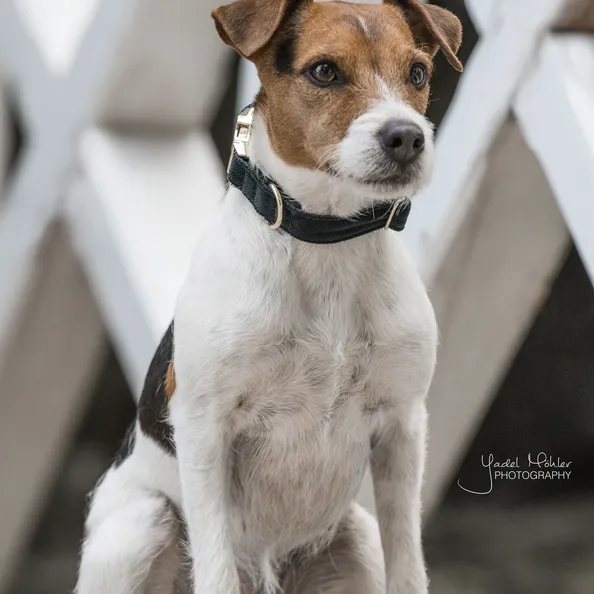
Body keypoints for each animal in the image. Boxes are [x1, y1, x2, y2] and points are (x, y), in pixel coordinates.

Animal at [76, 1, 460, 592]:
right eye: (324, 71)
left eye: (418, 72)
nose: (407, 136)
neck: (327, 240)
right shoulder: (204, 425)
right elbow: (214, 569)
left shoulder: (401, 426)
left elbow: (409, 564)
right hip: (141, 525)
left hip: (357, 539)